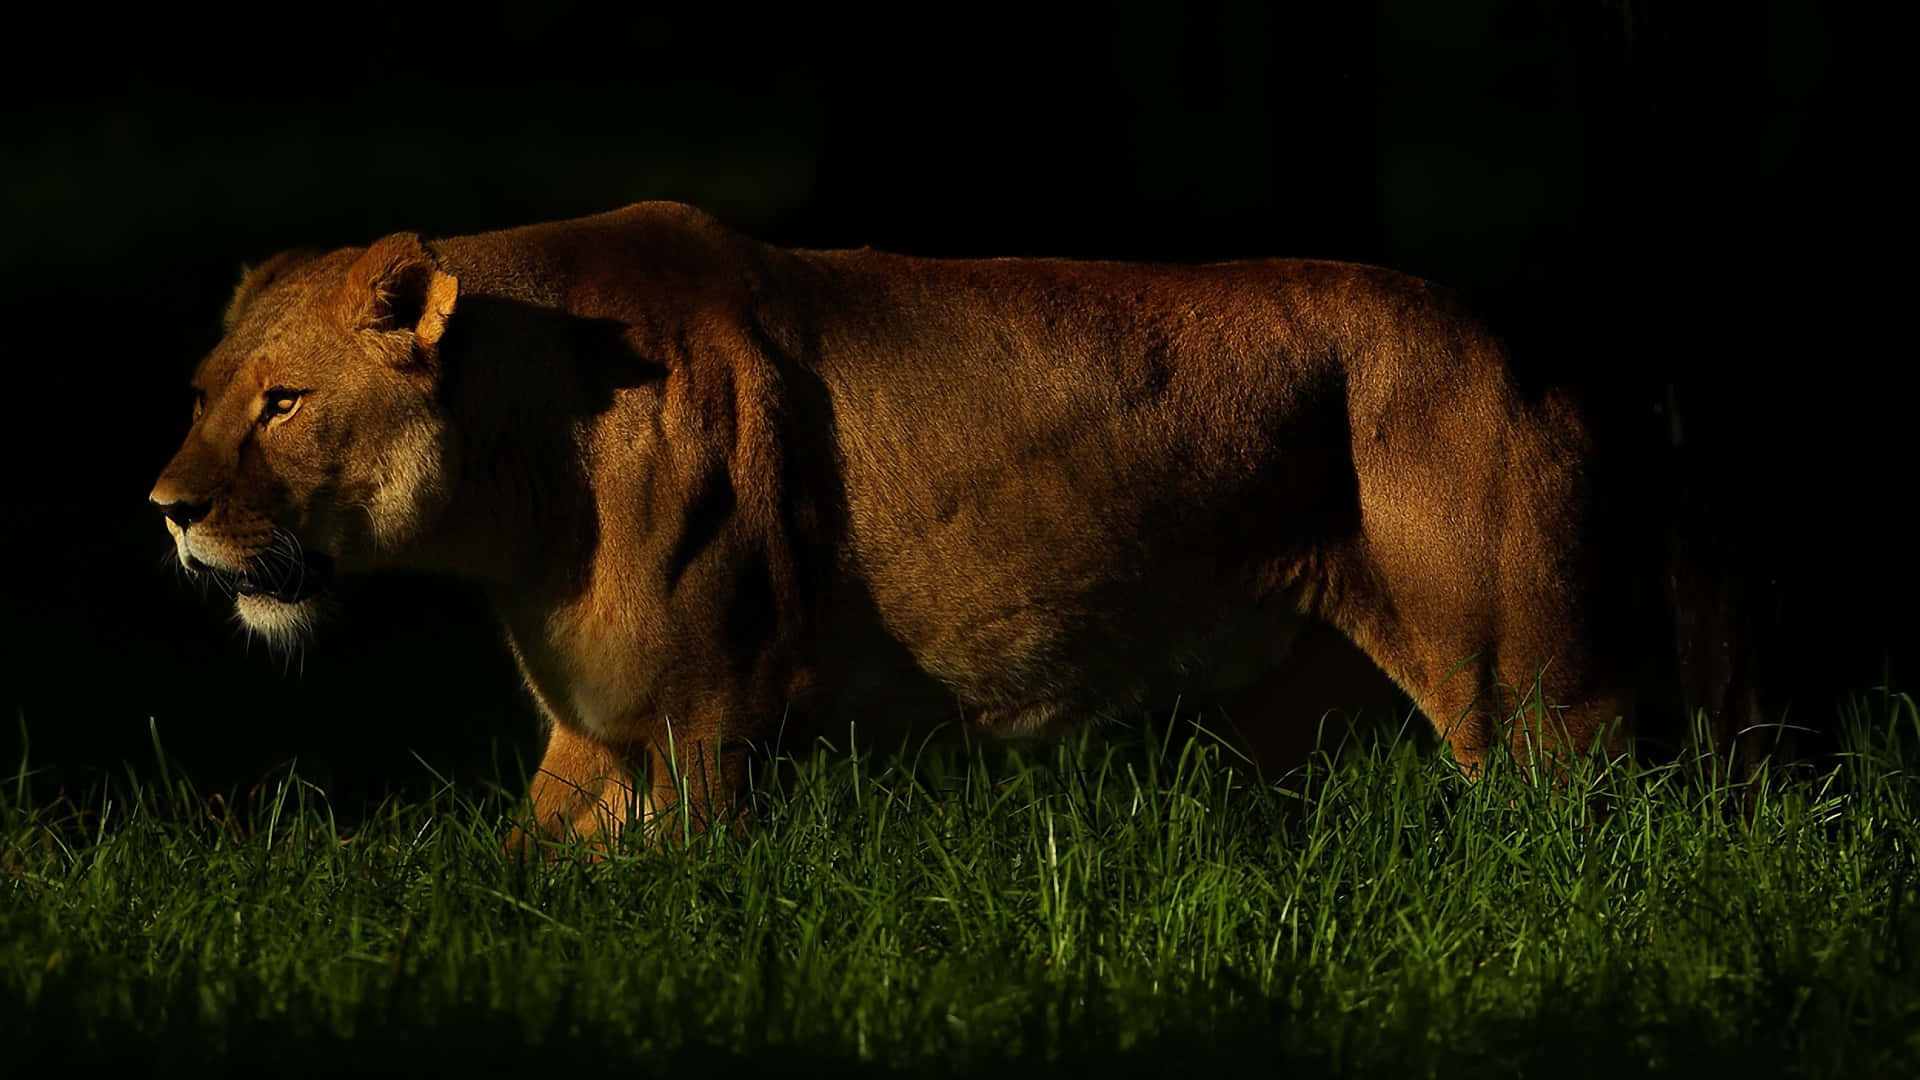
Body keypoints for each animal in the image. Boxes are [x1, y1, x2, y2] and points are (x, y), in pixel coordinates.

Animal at [151, 202, 1634, 845]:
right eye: (204, 395)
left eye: (283, 403)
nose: (166, 512)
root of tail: (1521, 348)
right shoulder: (598, 726)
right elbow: (512, 883)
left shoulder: (709, 718)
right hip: (1288, 730)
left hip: (1527, 691)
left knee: (1600, 831)